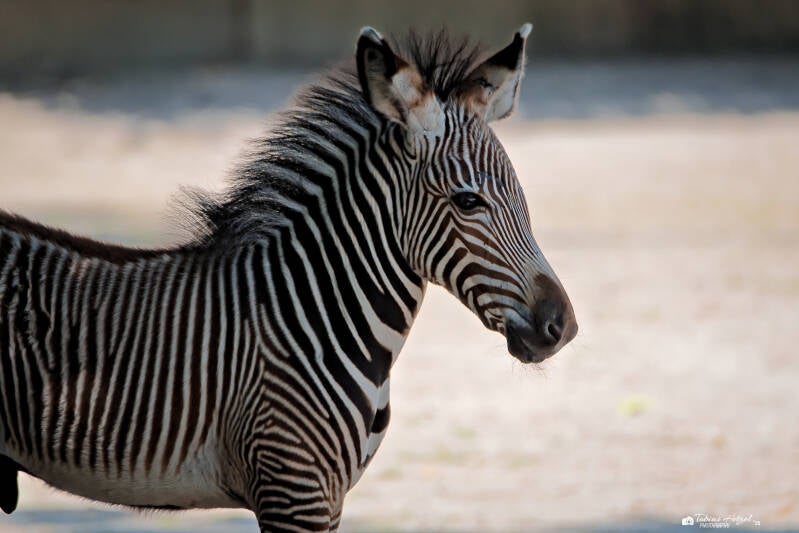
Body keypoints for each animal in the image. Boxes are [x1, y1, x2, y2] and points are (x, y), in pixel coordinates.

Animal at [0, 24, 577, 532]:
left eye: (520, 195)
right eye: (468, 201)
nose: (562, 327)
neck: (312, 315)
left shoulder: (329, 497)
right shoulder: (293, 490)